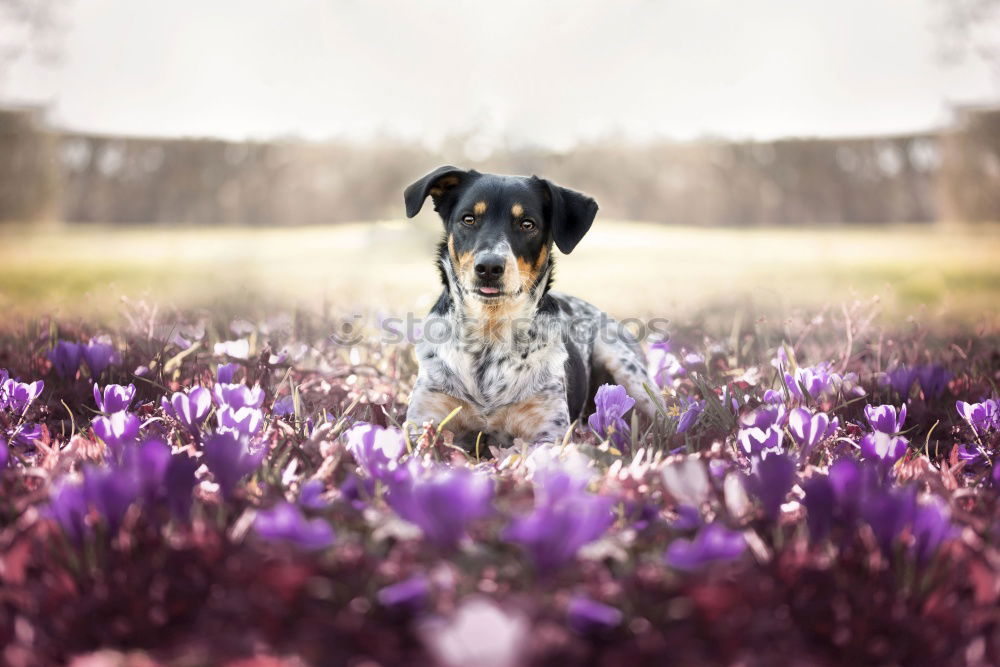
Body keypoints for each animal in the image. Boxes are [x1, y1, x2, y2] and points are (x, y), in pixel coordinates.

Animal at [402, 166, 660, 448]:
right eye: (468, 219)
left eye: (527, 224)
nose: (489, 267)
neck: (490, 334)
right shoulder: (423, 419)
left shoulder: (548, 432)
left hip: (625, 366)